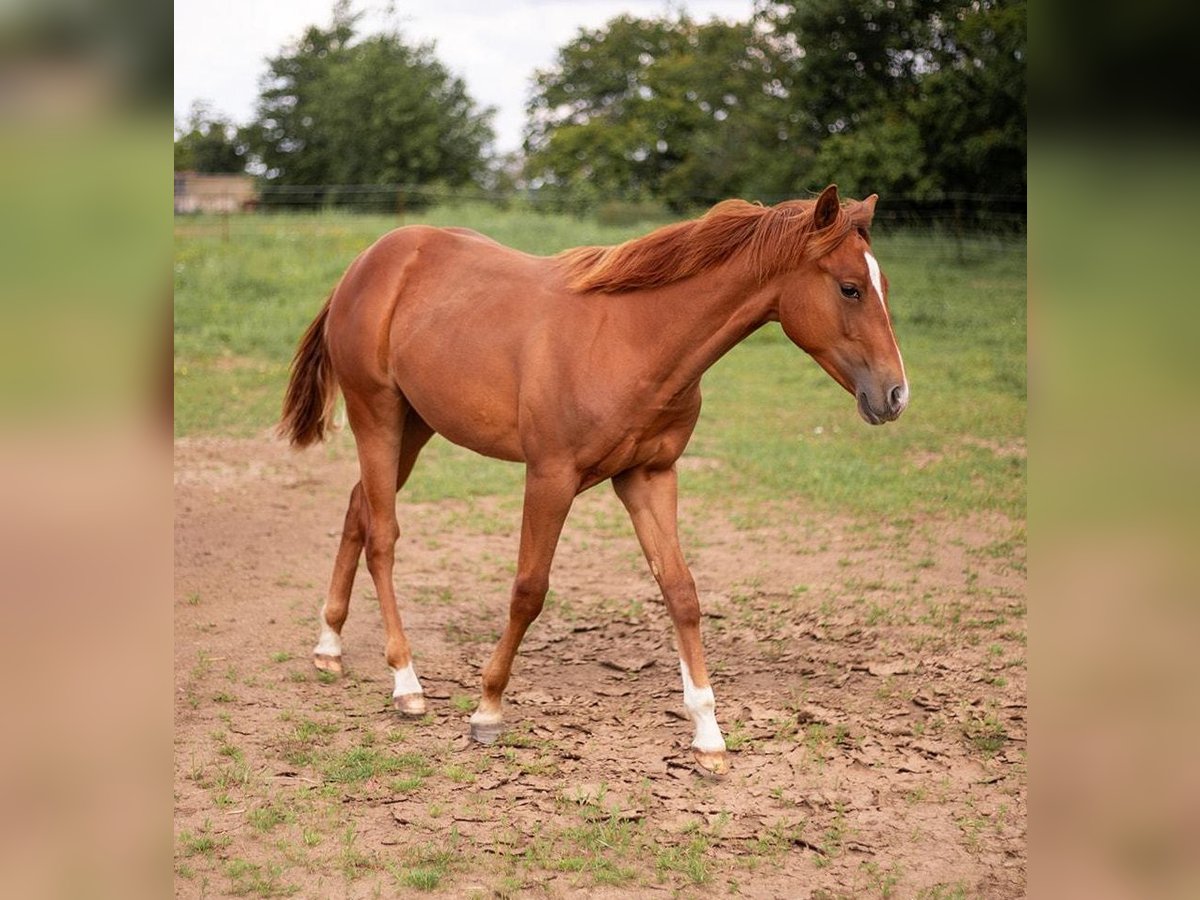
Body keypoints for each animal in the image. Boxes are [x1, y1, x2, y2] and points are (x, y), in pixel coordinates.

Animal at [280, 183, 907, 777]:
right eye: (850, 288)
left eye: (882, 283)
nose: (895, 395)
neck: (633, 338)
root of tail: (368, 262)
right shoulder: (551, 477)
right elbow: (529, 589)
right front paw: (487, 709)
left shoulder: (649, 477)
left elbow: (681, 593)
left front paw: (708, 738)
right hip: (378, 416)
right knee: (382, 536)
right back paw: (406, 682)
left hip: (415, 426)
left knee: (358, 509)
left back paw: (329, 646)